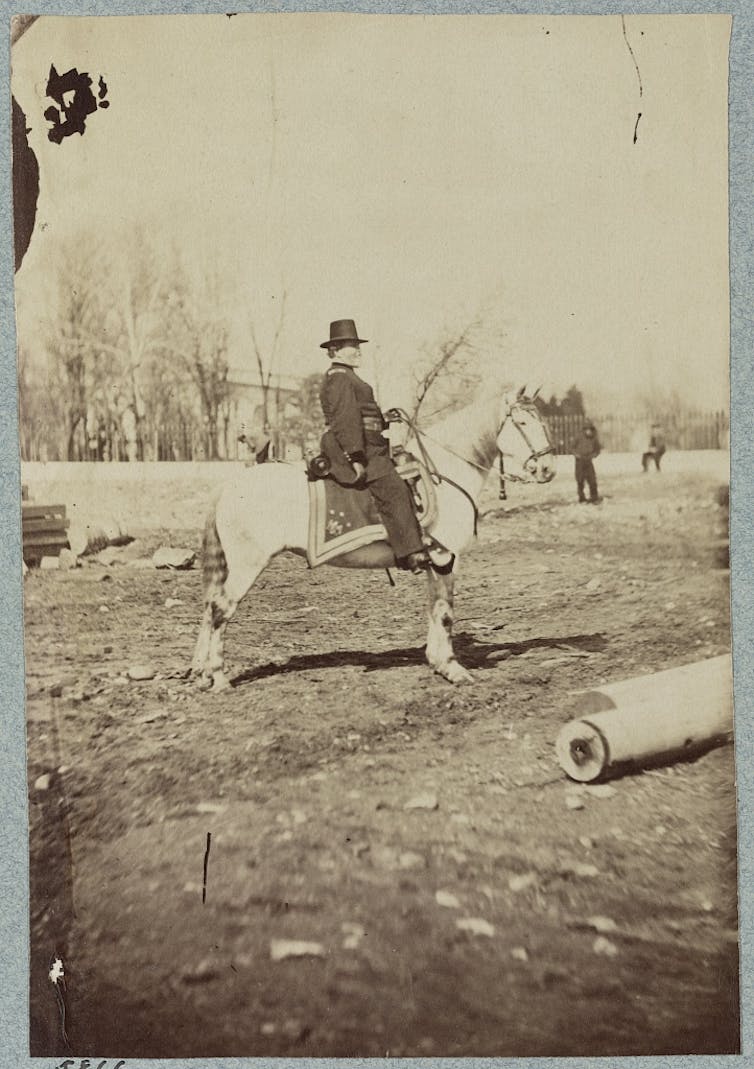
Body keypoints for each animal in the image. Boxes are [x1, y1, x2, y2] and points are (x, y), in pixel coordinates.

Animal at [191, 389, 556, 688]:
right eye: (523, 422)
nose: (548, 468)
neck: (444, 474)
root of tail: (231, 484)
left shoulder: (434, 561)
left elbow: (434, 608)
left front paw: (437, 662)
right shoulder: (446, 558)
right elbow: (445, 613)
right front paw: (454, 669)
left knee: (210, 608)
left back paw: (204, 673)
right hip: (247, 565)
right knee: (221, 609)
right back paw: (219, 677)